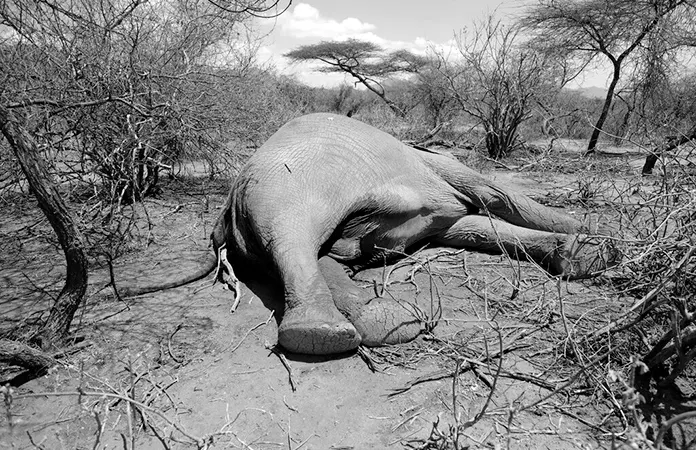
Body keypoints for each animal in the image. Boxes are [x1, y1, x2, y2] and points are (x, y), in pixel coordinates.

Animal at [211, 113, 617, 355]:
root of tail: (229, 203)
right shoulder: (444, 168)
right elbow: (496, 197)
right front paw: (595, 239)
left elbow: (475, 229)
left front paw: (587, 253)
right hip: (290, 181)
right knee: (293, 235)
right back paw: (329, 331)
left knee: (309, 251)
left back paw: (376, 323)